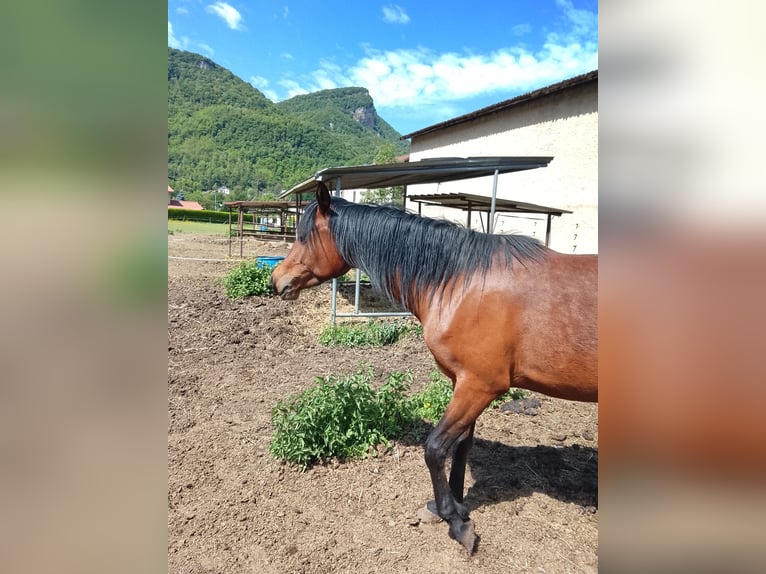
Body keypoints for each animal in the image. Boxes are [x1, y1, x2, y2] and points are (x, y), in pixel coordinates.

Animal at [270, 182, 598, 554]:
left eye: (304, 236)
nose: (276, 280)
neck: (464, 283)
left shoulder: (479, 386)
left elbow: (435, 448)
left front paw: (454, 520)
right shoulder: (465, 383)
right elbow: (461, 445)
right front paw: (456, 504)